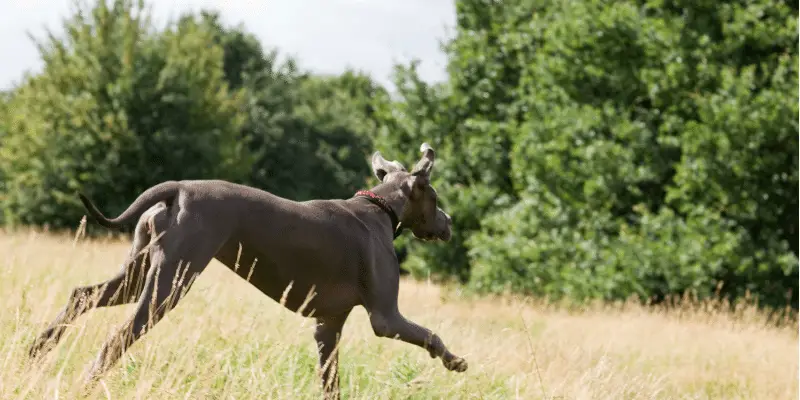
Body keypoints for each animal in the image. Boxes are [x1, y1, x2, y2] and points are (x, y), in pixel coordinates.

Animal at [29, 143, 468, 396]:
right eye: (435, 196)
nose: (449, 222)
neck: (380, 208)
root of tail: (179, 189)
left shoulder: (327, 327)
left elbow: (331, 384)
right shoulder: (386, 317)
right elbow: (431, 335)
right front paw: (454, 361)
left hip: (139, 273)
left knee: (82, 294)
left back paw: (38, 350)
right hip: (170, 283)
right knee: (116, 338)